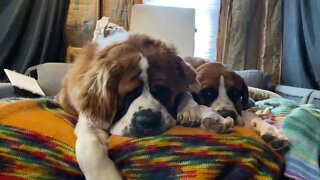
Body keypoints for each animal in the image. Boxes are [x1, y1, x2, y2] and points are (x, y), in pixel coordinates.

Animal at [56, 32, 199, 180]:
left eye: (162, 91)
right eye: (128, 94)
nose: (147, 120)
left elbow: (185, 92)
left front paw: (190, 110)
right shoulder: (90, 118)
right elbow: (90, 143)